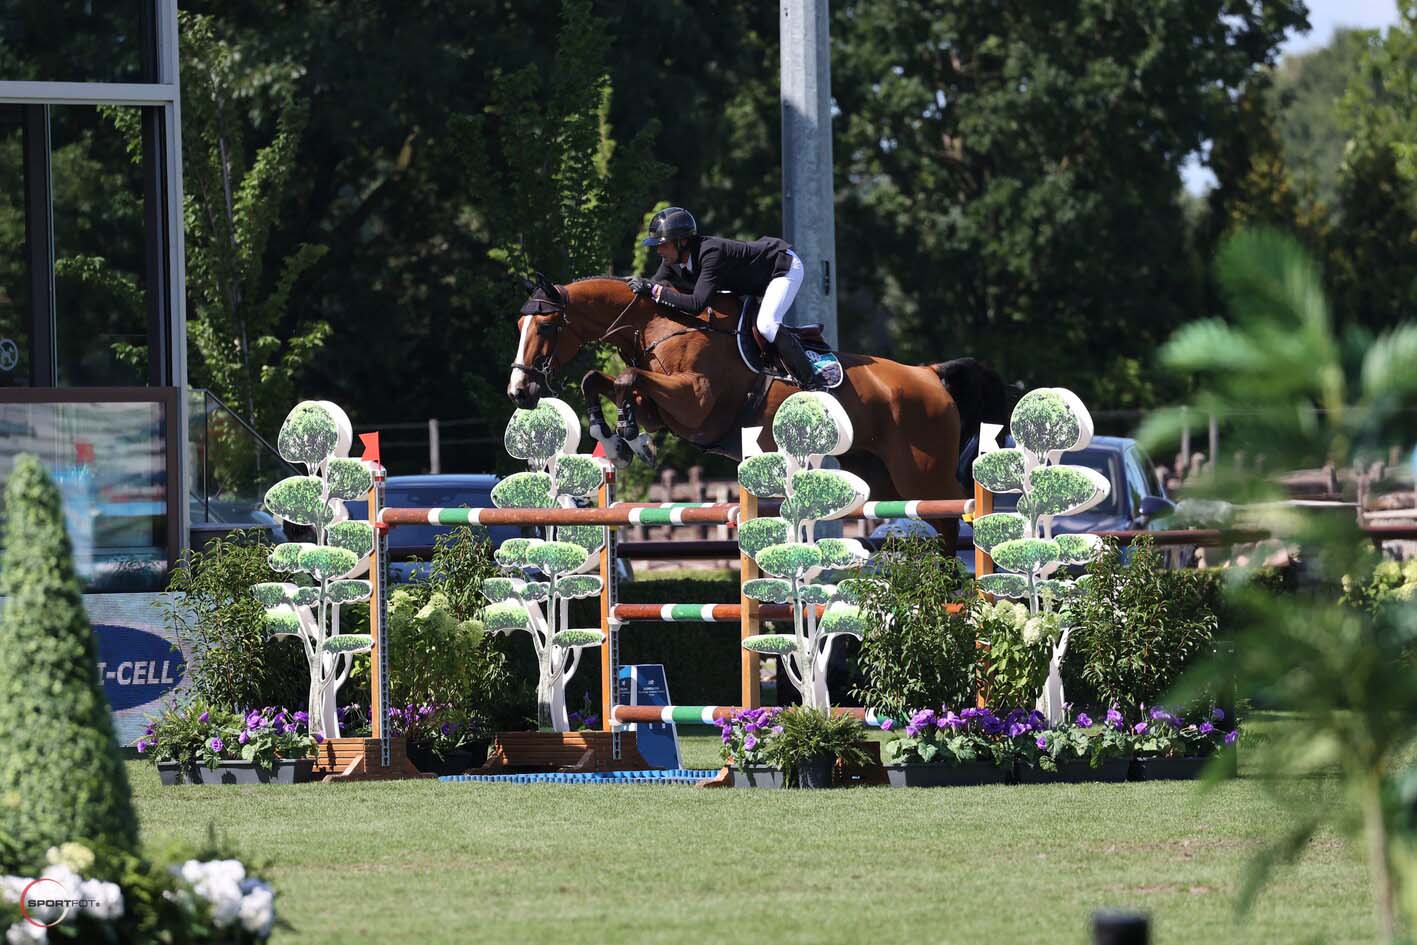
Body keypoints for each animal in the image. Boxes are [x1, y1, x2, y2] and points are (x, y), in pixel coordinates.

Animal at [510, 273, 1008, 538]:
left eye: (547, 327)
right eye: (519, 325)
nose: (519, 391)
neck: (658, 324)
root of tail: (929, 373)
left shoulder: (695, 402)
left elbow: (629, 380)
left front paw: (630, 438)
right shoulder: (666, 407)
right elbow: (601, 381)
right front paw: (618, 440)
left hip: (922, 471)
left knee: (952, 514)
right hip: (882, 475)